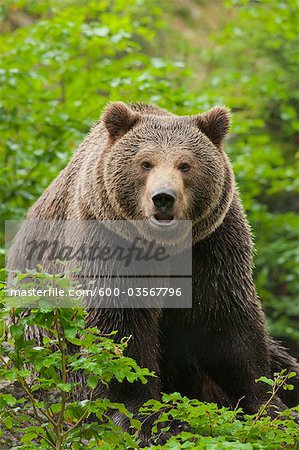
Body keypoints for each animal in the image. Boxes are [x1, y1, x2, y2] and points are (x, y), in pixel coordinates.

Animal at [7, 102, 299, 440]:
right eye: (145, 163)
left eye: (185, 165)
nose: (163, 198)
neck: (163, 246)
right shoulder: (106, 242)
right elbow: (119, 329)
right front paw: (149, 421)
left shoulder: (211, 245)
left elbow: (228, 322)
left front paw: (272, 408)